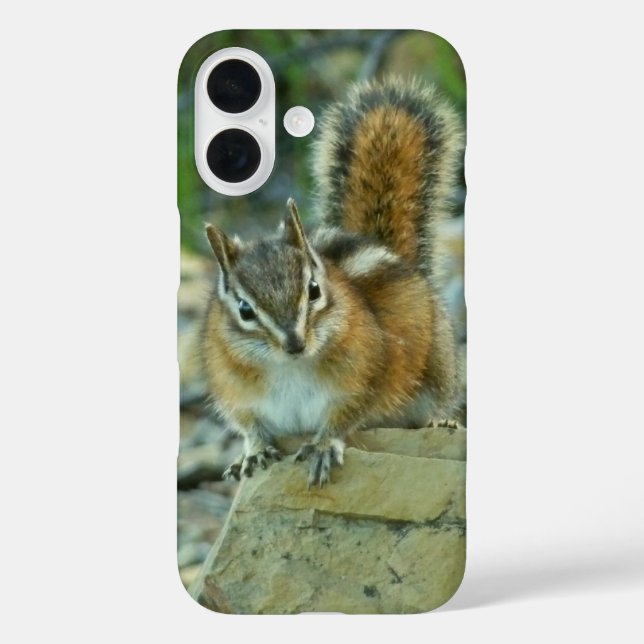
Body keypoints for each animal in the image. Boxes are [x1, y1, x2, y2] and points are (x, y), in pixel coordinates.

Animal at [203, 78, 465, 487]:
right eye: (244, 309)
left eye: (313, 290)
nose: (294, 344)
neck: (288, 368)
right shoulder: (235, 392)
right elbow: (249, 425)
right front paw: (254, 451)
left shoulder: (364, 378)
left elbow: (345, 416)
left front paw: (324, 445)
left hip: (438, 368)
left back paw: (441, 420)